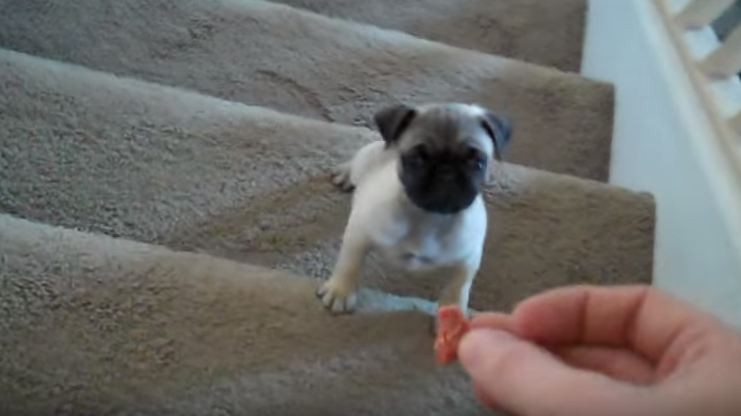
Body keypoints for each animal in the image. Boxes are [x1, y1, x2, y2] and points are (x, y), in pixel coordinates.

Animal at [316, 102, 512, 314]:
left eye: (477, 162)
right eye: (417, 159)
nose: (446, 171)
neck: (429, 216)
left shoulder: (468, 258)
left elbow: (459, 286)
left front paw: (453, 313)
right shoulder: (359, 234)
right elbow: (349, 263)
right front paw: (340, 291)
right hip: (365, 162)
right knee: (356, 164)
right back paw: (345, 172)